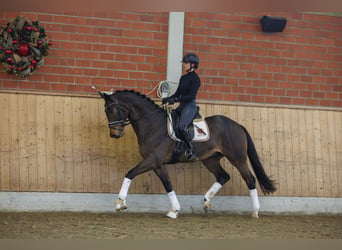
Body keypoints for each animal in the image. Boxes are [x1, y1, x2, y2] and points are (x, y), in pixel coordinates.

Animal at [98, 90, 276, 219]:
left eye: (112, 110)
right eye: (106, 111)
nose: (114, 134)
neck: (152, 124)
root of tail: (237, 125)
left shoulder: (152, 160)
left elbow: (130, 173)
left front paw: (120, 203)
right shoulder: (157, 164)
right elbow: (168, 184)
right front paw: (174, 210)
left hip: (237, 158)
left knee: (250, 179)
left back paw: (255, 211)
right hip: (210, 159)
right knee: (223, 176)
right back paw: (206, 202)